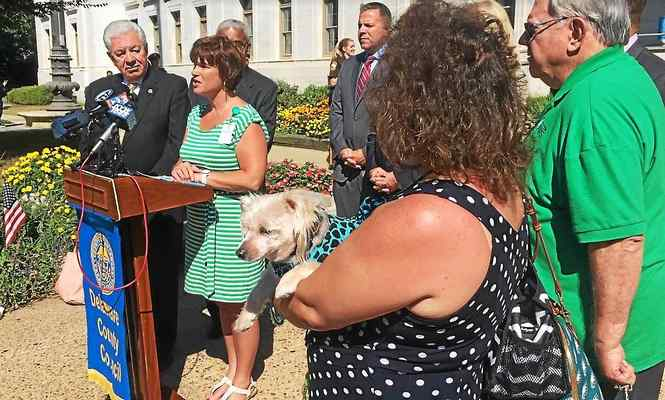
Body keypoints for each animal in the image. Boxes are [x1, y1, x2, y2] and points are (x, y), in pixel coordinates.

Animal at [235, 189, 338, 332]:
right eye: (246, 230)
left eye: (266, 231)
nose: (239, 253)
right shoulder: (273, 271)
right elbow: (258, 288)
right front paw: (244, 317)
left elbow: (308, 264)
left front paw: (284, 284)